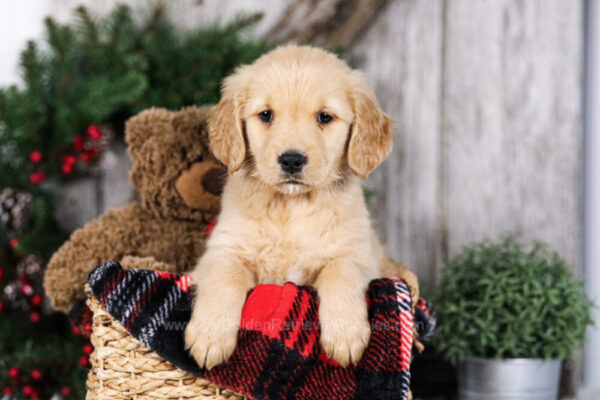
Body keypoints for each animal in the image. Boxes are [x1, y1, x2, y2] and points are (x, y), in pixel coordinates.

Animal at [186, 44, 418, 368]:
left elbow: (340, 268)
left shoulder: (362, 258)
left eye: (325, 117)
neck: (291, 206)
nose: (292, 160)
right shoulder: (219, 252)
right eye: (266, 115)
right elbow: (225, 274)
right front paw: (209, 336)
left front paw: (345, 335)